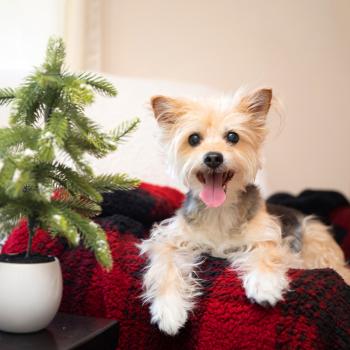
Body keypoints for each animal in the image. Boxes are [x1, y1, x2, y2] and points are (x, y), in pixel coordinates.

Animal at [138, 87, 348, 334]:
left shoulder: (269, 237)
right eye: (194, 139)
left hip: (316, 240)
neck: (219, 211)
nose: (213, 157)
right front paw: (169, 309)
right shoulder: (168, 241)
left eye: (232, 137)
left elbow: (265, 252)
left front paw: (265, 285)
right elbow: (166, 265)